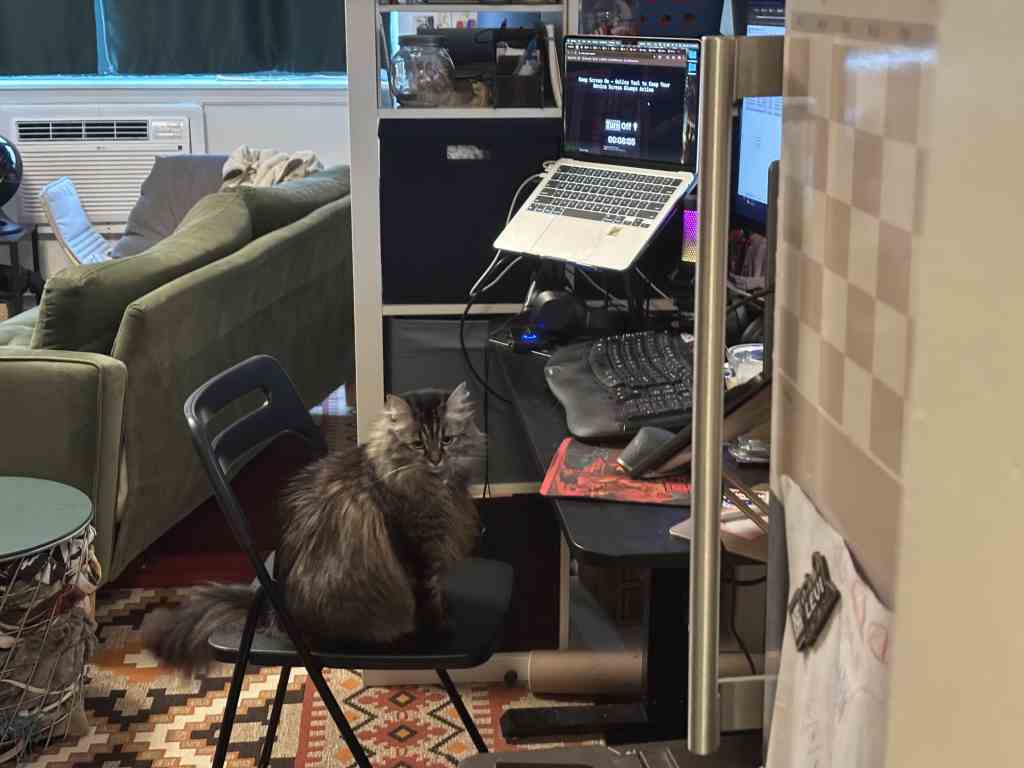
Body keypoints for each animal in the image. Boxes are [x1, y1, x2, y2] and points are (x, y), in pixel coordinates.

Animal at [142, 383, 485, 669]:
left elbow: (438, 589)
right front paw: (439, 627)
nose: (436, 459)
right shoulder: (416, 550)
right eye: (417, 444)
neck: (434, 488)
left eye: (447, 440)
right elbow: (428, 595)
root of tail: (274, 611)